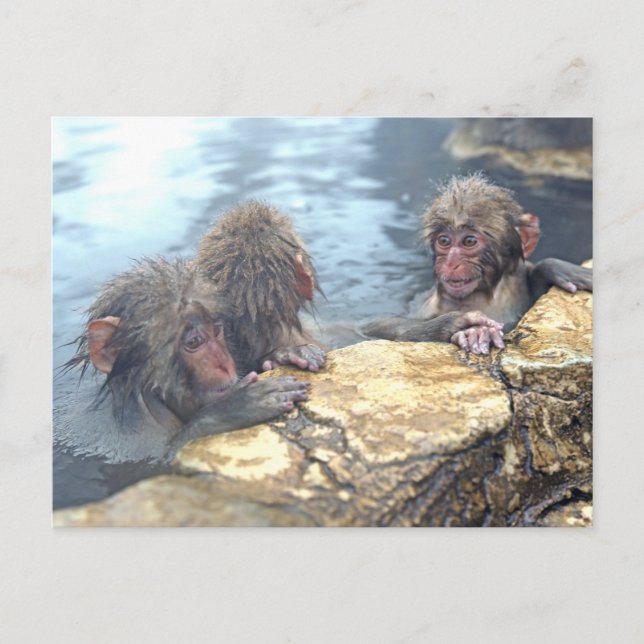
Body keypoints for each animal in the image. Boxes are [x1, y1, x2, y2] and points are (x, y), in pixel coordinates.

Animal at [55, 257, 310, 464]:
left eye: (217, 330)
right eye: (194, 342)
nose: (224, 363)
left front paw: (283, 355)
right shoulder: (135, 442)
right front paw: (237, 406)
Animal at [361, 174, 592, 354]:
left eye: (469, 241)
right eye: (444, 241)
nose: (451, 262)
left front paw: (556, 268)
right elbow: (375, 325)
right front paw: (455, 325)